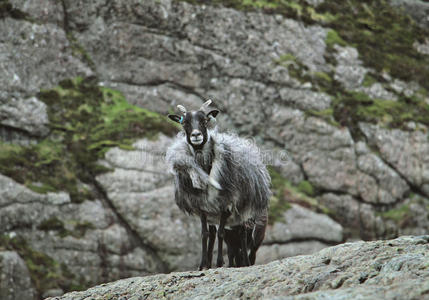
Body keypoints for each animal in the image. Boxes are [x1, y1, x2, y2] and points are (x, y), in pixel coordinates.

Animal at [166, 99, 270, 268]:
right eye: (184, 122)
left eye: (204, 120)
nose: (196, 135)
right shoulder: (201, 205)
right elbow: (205, 234)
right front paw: (203, 264)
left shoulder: (227, 205)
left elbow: (221, 233)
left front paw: (220, 262)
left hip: (244, 214)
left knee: (243, 236)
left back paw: (246, 263)